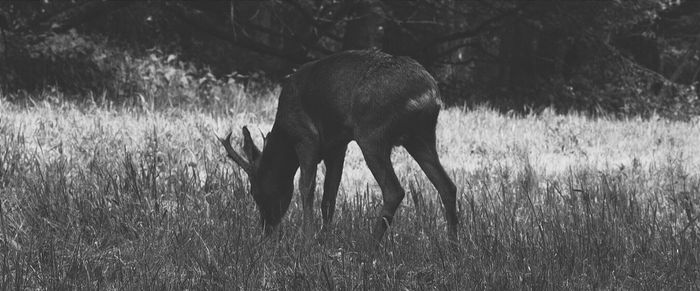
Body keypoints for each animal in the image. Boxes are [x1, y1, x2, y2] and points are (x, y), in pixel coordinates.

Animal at [220, 49, 460, 245]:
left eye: (254, 191)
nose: (266, 229)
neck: (285, 133)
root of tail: (430, 94)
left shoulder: (306, 138)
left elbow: (306, 187)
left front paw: (308, 241)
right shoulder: (337, 146)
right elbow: (329, 195)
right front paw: (324, 239)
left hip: (371, 132)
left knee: (394, 191)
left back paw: (369, 248)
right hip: (421, 137)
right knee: (447, 186)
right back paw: (453, 246)